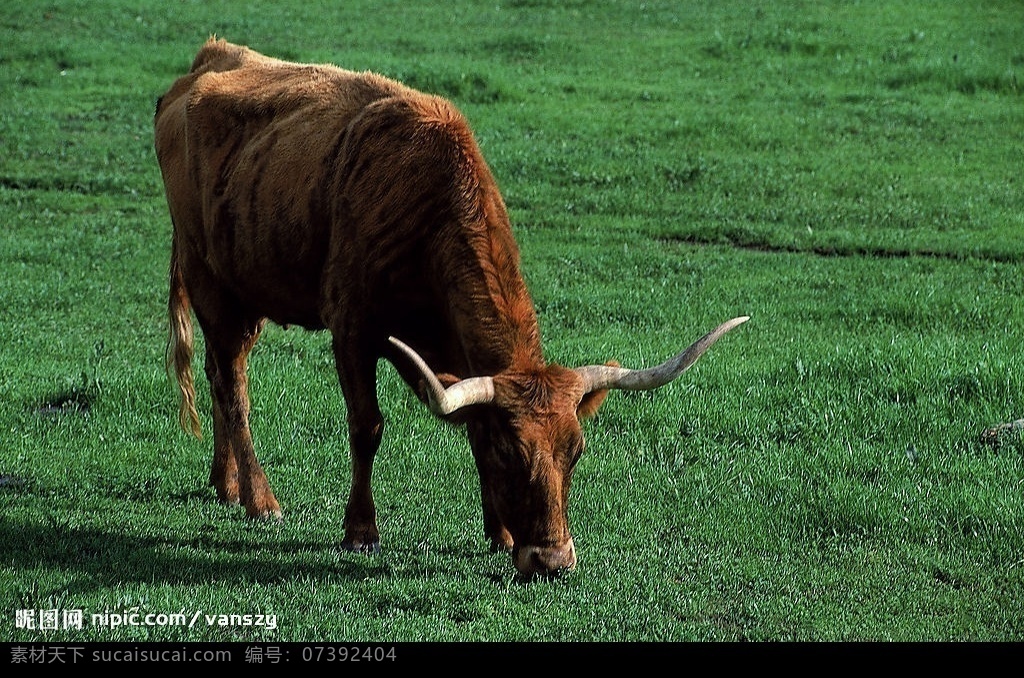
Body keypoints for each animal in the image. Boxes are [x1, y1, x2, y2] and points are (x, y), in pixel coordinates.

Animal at [153, 37, 745, 577]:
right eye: (513, 453)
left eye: (575, 451)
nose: (552, 560)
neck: (427, 209)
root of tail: (205, 62)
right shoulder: (352, 328)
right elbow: (366, 426)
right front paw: (361, 530)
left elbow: (470, 425)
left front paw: (500, 534)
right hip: (210, 283)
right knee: (233, 388)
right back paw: (259, 499)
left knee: (220, 376)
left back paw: (225, 483)